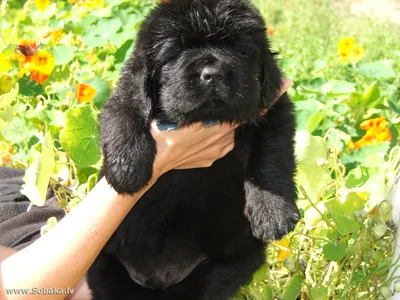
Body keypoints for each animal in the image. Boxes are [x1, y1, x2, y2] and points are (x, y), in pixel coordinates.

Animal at [88, 0, 300, 300]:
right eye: (176, 51)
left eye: (240, 49)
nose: (212, 74)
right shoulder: (126, 93)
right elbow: (123, 114)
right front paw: (125, 172)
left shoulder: (274, 107)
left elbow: (272, 157)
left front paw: (272, 213)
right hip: (106, 266)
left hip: (226, 267)